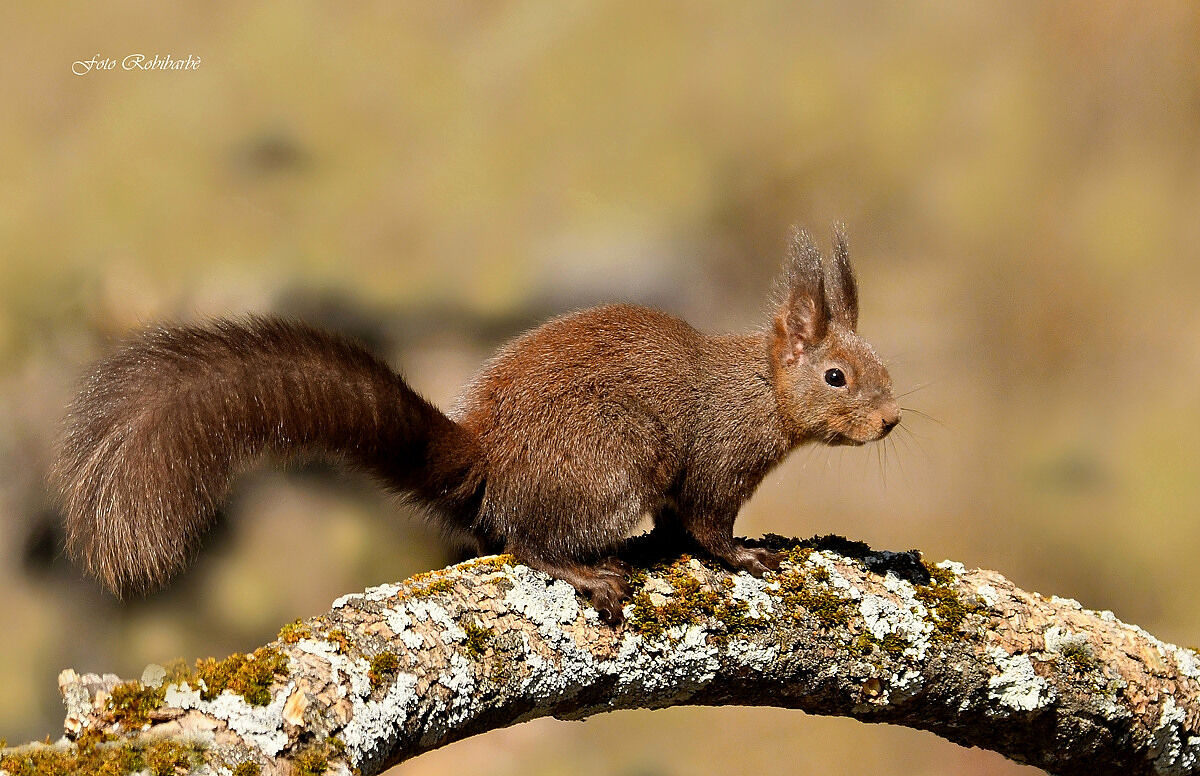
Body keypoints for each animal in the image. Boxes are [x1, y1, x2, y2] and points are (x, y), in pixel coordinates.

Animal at [51, 226, 899, 624]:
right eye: (837, 376)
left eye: (880, 365)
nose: (891, 420)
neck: (758, 390)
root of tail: (489, 456)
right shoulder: (719, 462)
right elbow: (708, 526)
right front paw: (748, 557)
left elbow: (678, 526)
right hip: (613, 465)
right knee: (525, 540)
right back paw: (584, 571)